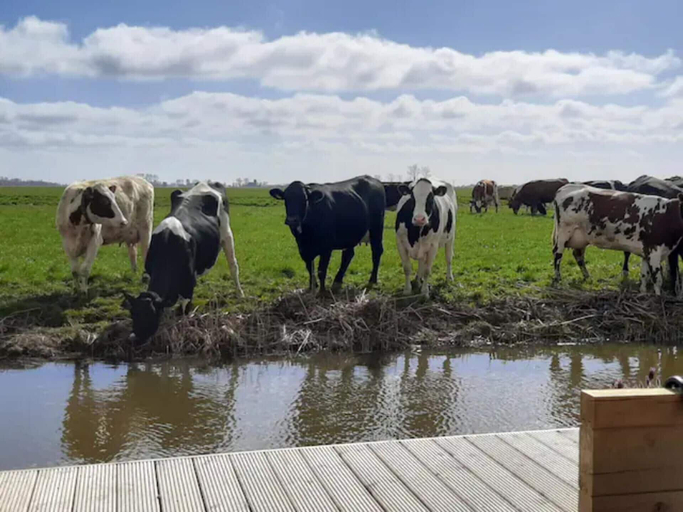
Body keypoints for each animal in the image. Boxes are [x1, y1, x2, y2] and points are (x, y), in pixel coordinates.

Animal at [122, 182, 243, 342]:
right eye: (133, 314)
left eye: (150, 317)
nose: (135, 339)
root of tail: (207, 183)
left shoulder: (188, 284)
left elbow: (184, 311)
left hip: (226, 233)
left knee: (233, 265)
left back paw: (240, 293)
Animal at [552, 184, 683, 295]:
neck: (667, 214)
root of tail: (567, 186)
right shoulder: (654, 250)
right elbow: (657, 279)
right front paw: (658, 297)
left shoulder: (646, 251)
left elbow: (644, 276)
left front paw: (643, 293)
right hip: (563, 232)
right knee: (557, 255)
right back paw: (558, 280)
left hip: (580, 237)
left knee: (578, 255)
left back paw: (587, 277)